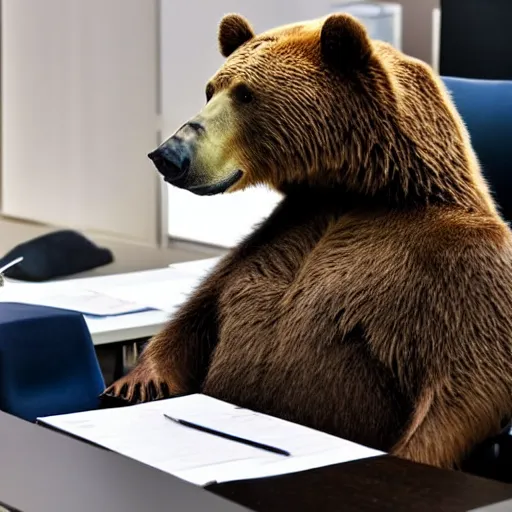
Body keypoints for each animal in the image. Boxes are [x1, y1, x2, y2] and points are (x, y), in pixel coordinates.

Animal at [102, 12, 512, 470]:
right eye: (211, 89)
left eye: (246, 94)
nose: (168, 155)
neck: (354, 192)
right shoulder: (277, 235)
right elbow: (199, 313)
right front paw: (134, 384)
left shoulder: (454, 268)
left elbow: (467, 380)